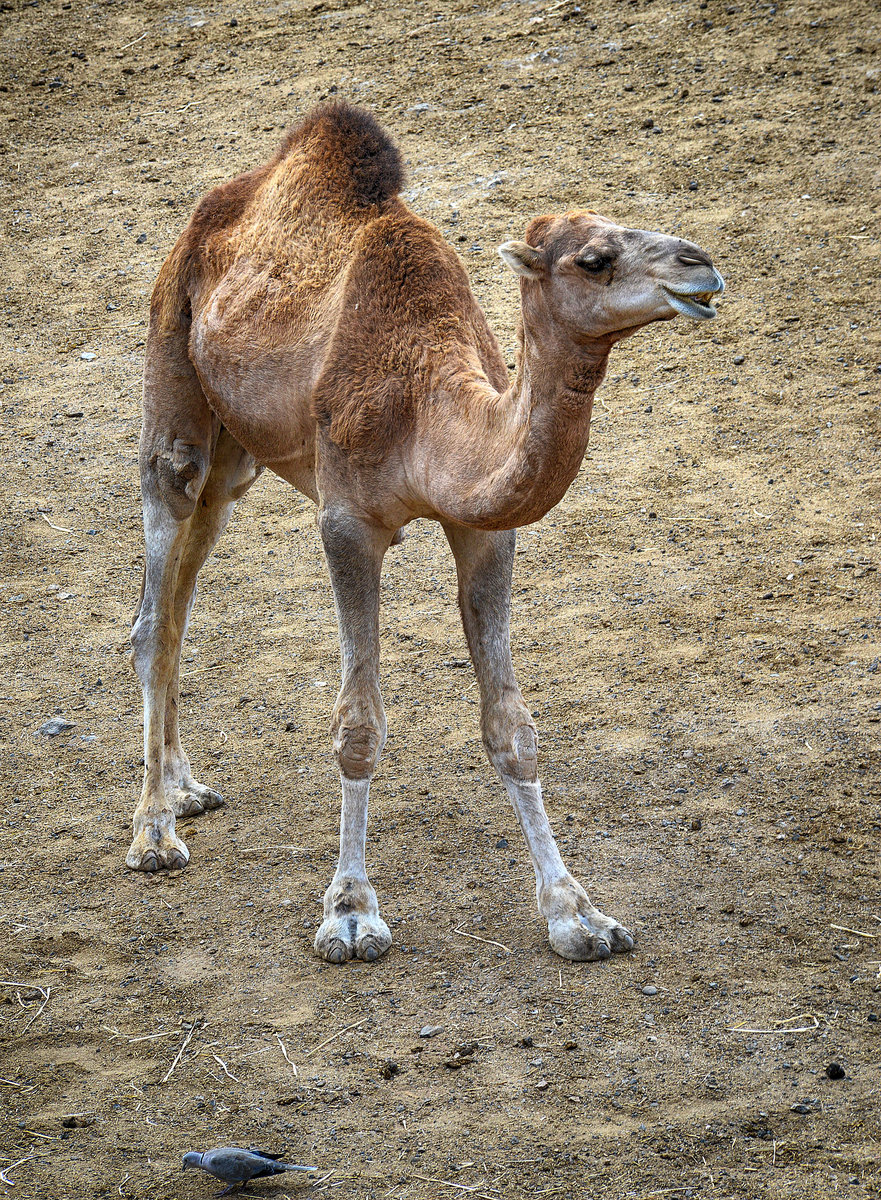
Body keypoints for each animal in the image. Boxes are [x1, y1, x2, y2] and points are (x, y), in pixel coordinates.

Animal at [129, 103, 724, 964]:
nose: (700, 265)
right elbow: (358, 725)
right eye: (594, 259)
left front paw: (577, 914)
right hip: (171, 369)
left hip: (236, 457)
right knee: (153, 606)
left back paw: (183, 787)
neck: (424, 407)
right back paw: (152, 832)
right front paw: (349, 912)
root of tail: (222, 201)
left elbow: (512, 727)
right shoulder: (345, 522)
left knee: (179, 601)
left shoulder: (484, 529)